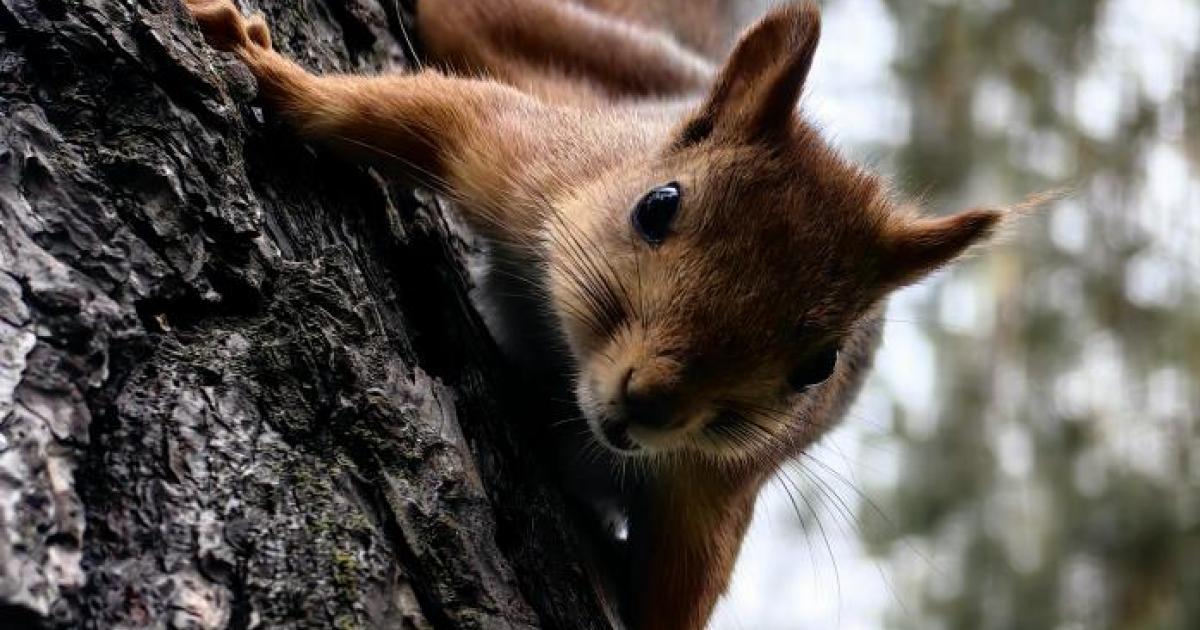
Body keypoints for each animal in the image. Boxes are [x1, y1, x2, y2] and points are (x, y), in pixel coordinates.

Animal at [183, 0, 1013, 628]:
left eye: (821, 365)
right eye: (658, 205)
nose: (652, 402)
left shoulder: (710, 492)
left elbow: (670, 607)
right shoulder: (532, 160)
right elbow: (416, 111)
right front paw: (265, 67)